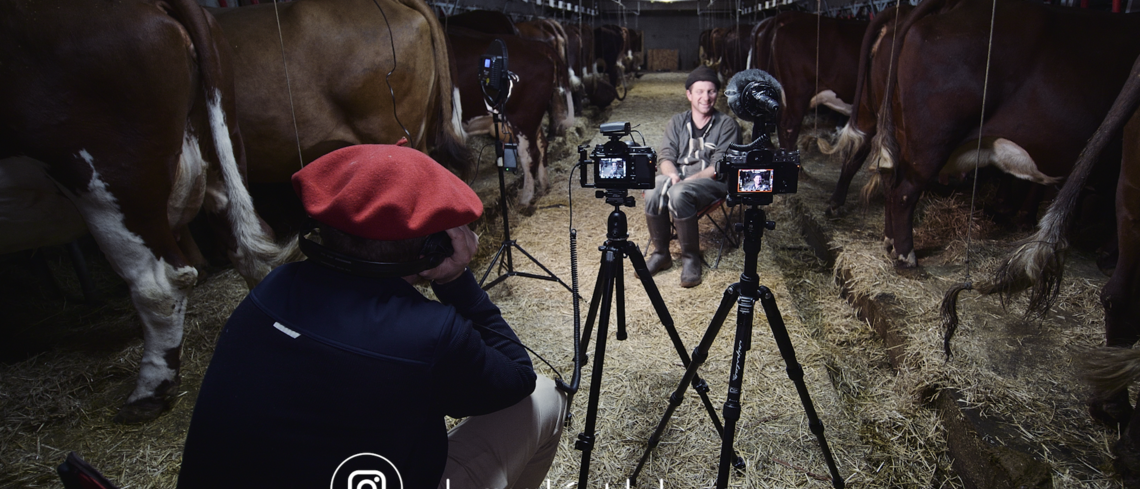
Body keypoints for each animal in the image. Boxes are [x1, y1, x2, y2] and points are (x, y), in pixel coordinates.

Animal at [861, 0, 1140, 266]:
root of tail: (955, 4)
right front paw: (1108, 253)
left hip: (900, 134)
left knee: (890, 180)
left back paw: (890, 241)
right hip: (932, 141)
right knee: (904, 192)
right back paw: (906, 255)